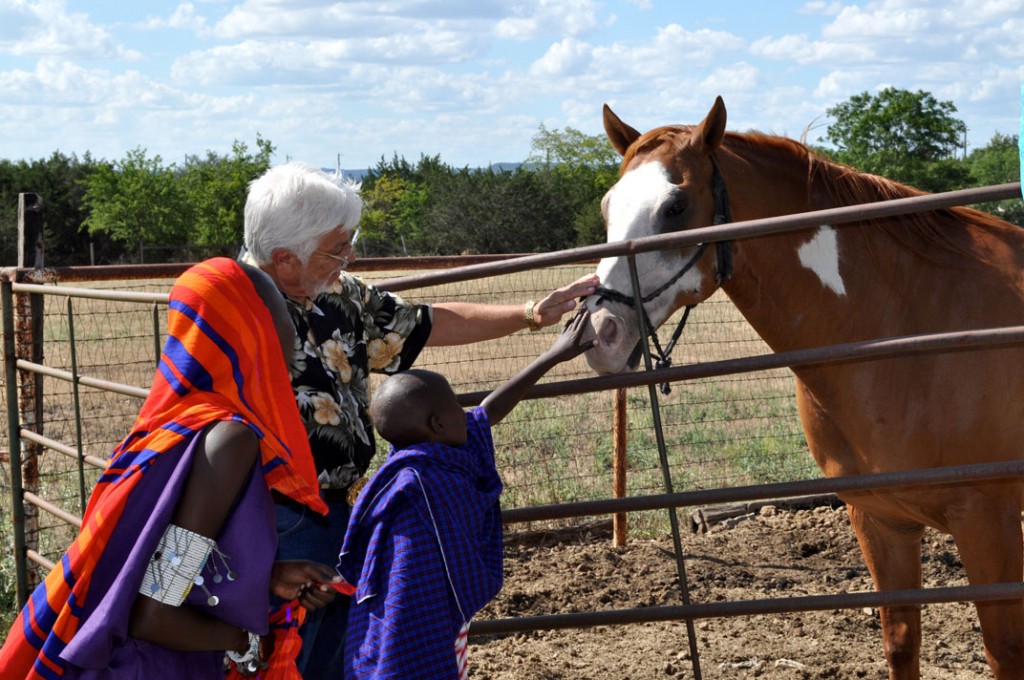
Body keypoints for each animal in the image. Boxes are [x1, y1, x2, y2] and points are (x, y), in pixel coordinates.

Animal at [585, 96, 1024, 680]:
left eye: (675, 207)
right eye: (609, 207)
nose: (600, 332)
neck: (911, 323)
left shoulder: (988, 523)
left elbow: (1005, 651)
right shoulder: (881, 522)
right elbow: (901, 642)